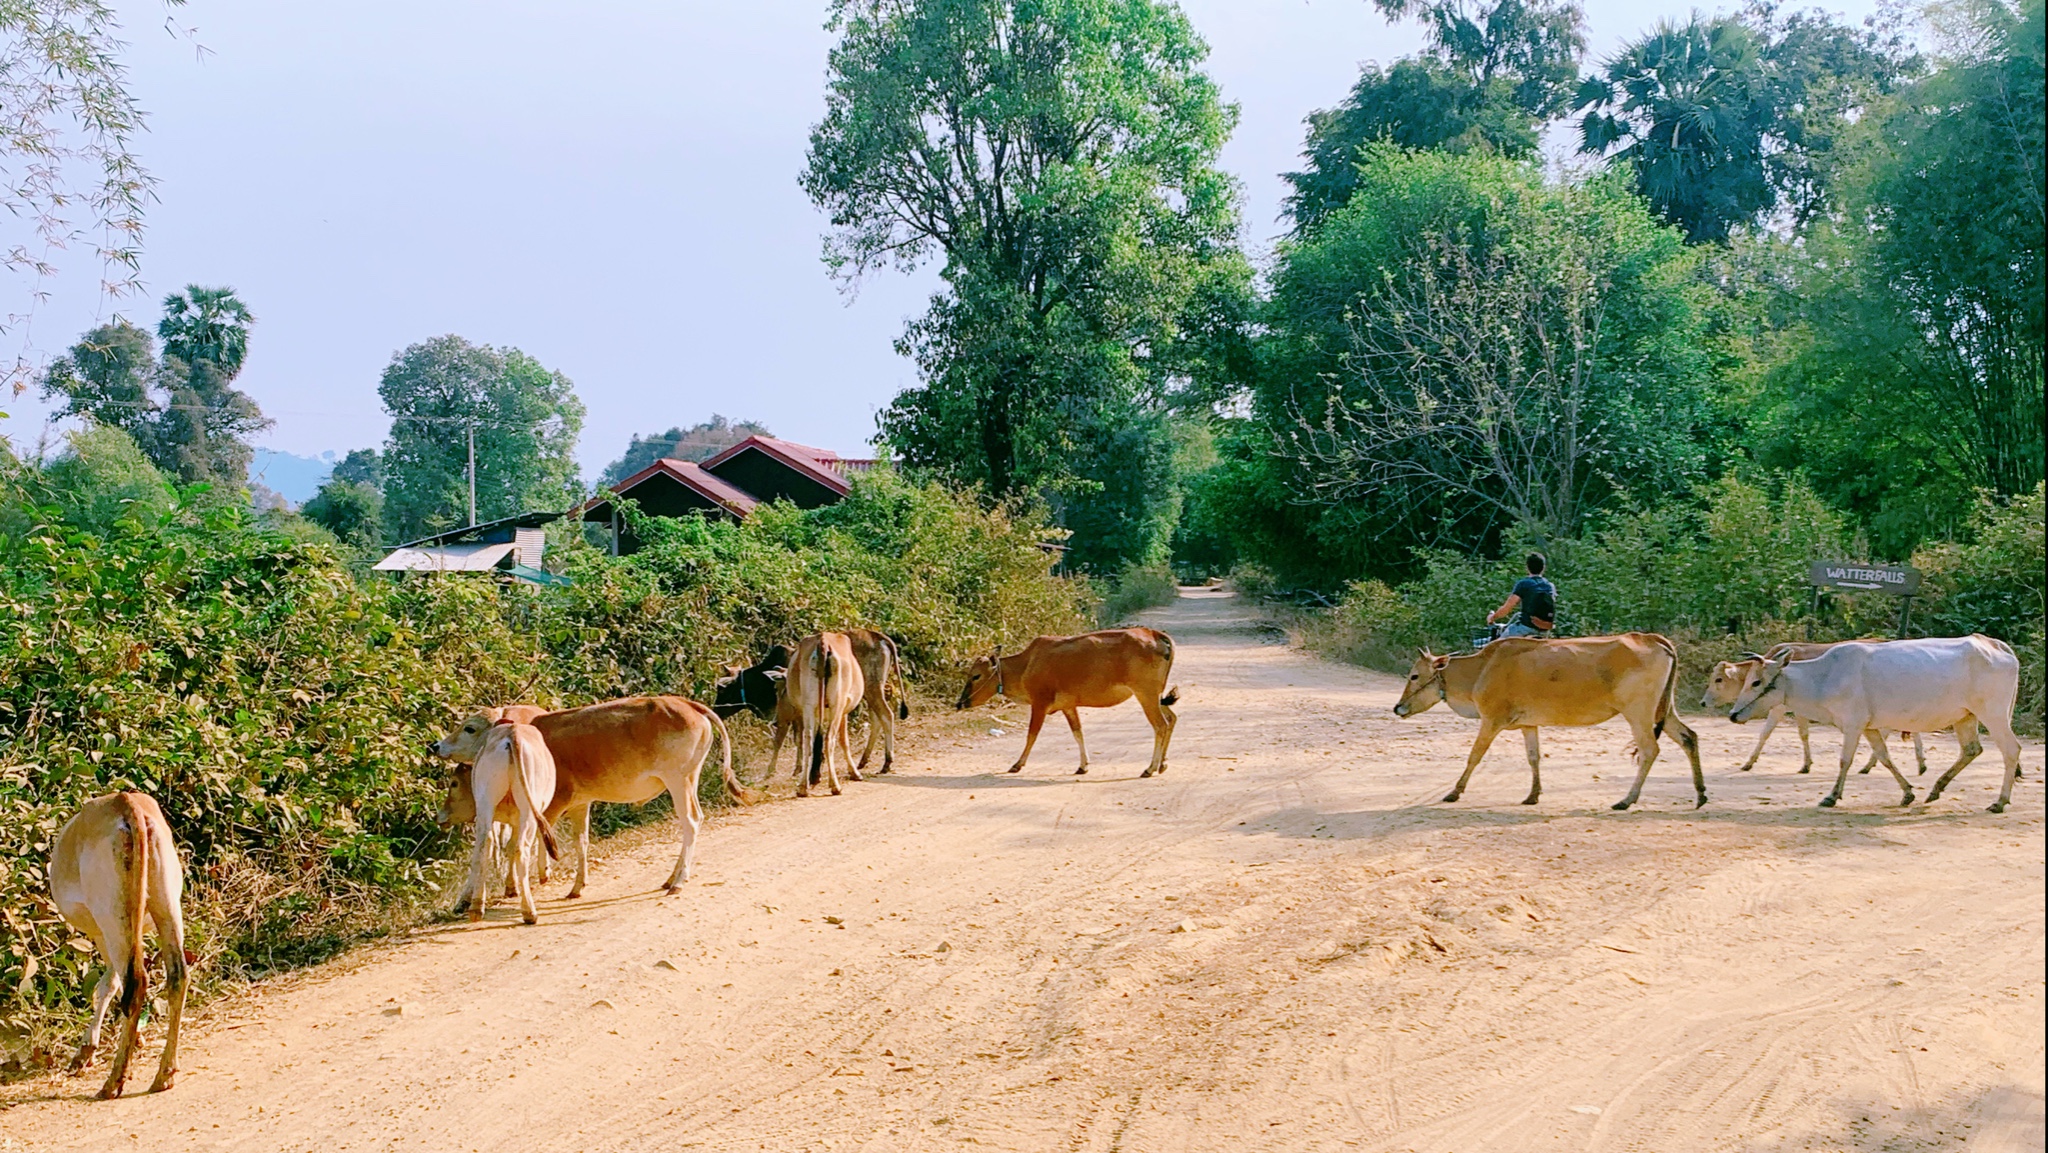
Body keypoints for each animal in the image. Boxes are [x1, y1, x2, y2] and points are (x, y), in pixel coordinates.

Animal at [51, 794, 188, 1097]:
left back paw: (114, 1081)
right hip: (167, 906)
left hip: (113, 917)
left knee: (135, 982)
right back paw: (165, 1074)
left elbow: (108, 986)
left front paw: (86, 1051)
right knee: (177, 976)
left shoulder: (102, 933)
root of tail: (126, 802)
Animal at [436, 696, 757, 892]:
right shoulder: (580, 803)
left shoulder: (554, 802)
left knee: (690, 822)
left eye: (469, 728)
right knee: (695, 820)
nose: (436, 746)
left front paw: (533, 877)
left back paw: (678, 881)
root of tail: (686, 703)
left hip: (679, 782)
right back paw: (670, 878)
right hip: (690, 779)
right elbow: (579, 841)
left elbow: (537, 837)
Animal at [950, 626, 1179, 782]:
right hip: (1156, 695)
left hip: (1145, 694)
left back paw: (1150, 768)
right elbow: (1078, 732)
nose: (960, 703)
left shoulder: (1039, 703)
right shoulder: (1069, 706)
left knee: (1160, 725)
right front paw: (1083, 766)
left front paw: (1017, 764)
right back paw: (1162, 764)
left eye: (976, 675)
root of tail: (1155, 634)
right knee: (1171, 718)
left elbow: (1032, 734)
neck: (1026, 665)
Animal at [1392, 630, 1712, 810]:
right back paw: (1700, 794)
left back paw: (1626, 800)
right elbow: (1534, 757)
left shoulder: (1491, 721)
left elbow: (1474, 756)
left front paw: (1454, 793)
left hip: (1638, 713)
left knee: (1649, 750)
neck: (1482, 668)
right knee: (1689, 737)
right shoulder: (1528, 725)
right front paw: (1533, 795)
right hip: (1664, 711)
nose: (1398, 708)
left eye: (1414, 676)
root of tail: (1653, 638)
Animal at [1728, 634, 2031, 815]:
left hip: (1993, 714)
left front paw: (1831, 796)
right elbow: (1884, 757)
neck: (1824, 676)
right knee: (1971, 750)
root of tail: (1994, 644)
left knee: (2011, 750)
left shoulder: (1853, 724)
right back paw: (1935, 789)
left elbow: (1845, 760)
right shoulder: (1869, 727)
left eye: (1756, 682)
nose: (1732, 715)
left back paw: (1999, 801)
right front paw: (1907, 793)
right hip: (1965, 717)